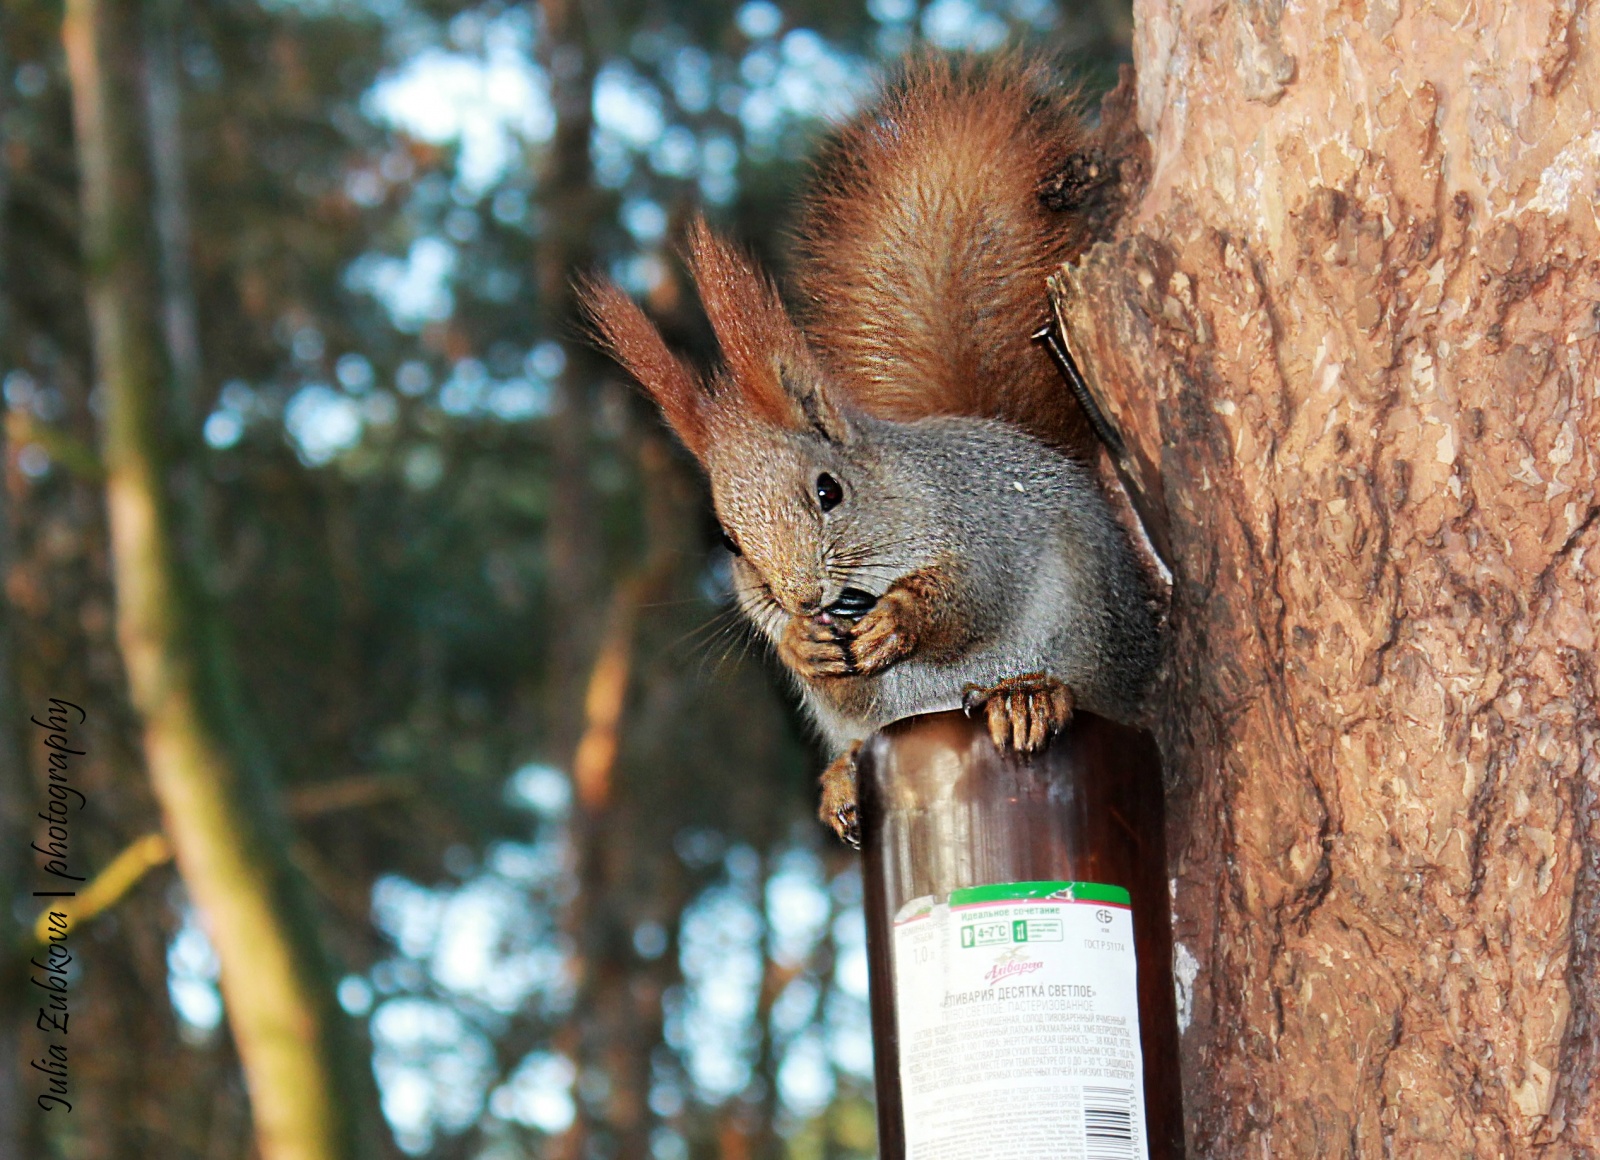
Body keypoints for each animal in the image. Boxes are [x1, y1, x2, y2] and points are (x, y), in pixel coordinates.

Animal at [582, 54, 1158, 844]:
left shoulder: (983, 527)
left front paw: (900, 619)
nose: (803, 596)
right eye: (728, 541)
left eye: (829, 491)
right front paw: (804, 645)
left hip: (1094, 636)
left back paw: (1030, 697)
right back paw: (840, 779)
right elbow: (824, 677)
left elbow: (970, 596)